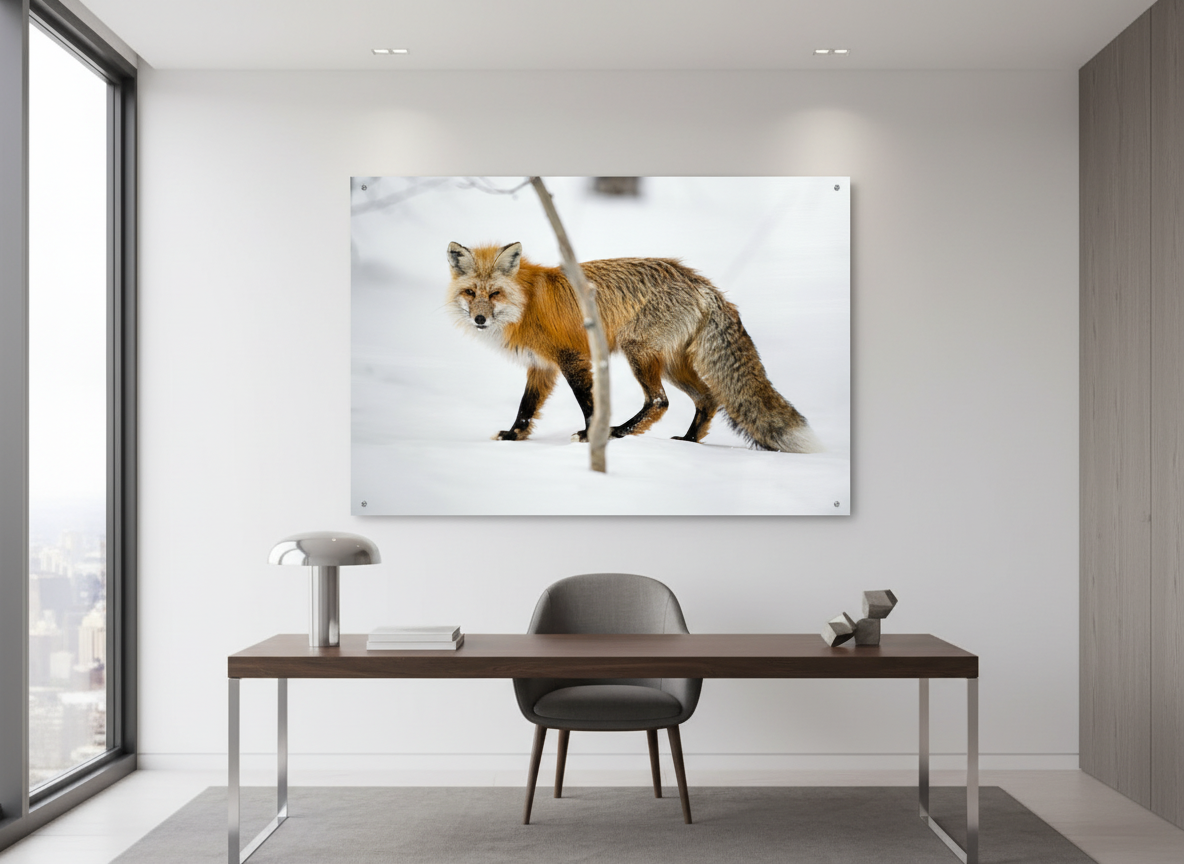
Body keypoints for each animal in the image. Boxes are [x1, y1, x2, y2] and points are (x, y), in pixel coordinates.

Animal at [445, 241, 823, 453]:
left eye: (495, 294)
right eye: (470, 293)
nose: (479, 319)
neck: (527, 303)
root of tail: (701, 283)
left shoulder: (573, 358)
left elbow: (588, 404)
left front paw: (592, 437)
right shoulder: (542, 366)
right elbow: (526, 407)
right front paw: (513, 436)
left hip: (638, 352)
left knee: (659, 402)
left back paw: (619, 432)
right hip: (672, 365)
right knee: (707, 399)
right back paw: (689, 441)